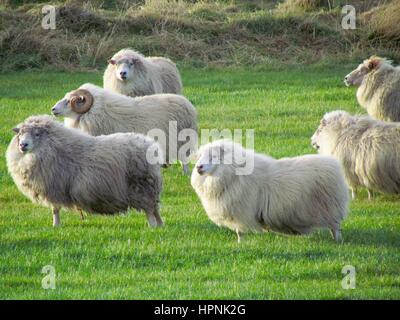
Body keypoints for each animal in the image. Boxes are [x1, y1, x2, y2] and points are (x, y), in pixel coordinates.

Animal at [6, 115, 163, 228]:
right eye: (20, 134)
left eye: (37, 134)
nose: (22, 145)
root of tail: (150, 144)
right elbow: (55, 209)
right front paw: (56, 226)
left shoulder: (54, 186)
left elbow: (55, 209)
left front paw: (56, 226)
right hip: (150, 186)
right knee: (155, 208)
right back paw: (160, 225)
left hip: (142, 185)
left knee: (149, 209)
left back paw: (152, 226)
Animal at [190, 140, 346, 242]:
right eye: (200, 156)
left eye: (214, 157)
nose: (198, 167)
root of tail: (334, 164)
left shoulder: (242, 210)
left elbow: (239, 231)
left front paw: (240, 244)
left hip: (331, 208)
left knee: (336, 227)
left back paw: (337, 241)